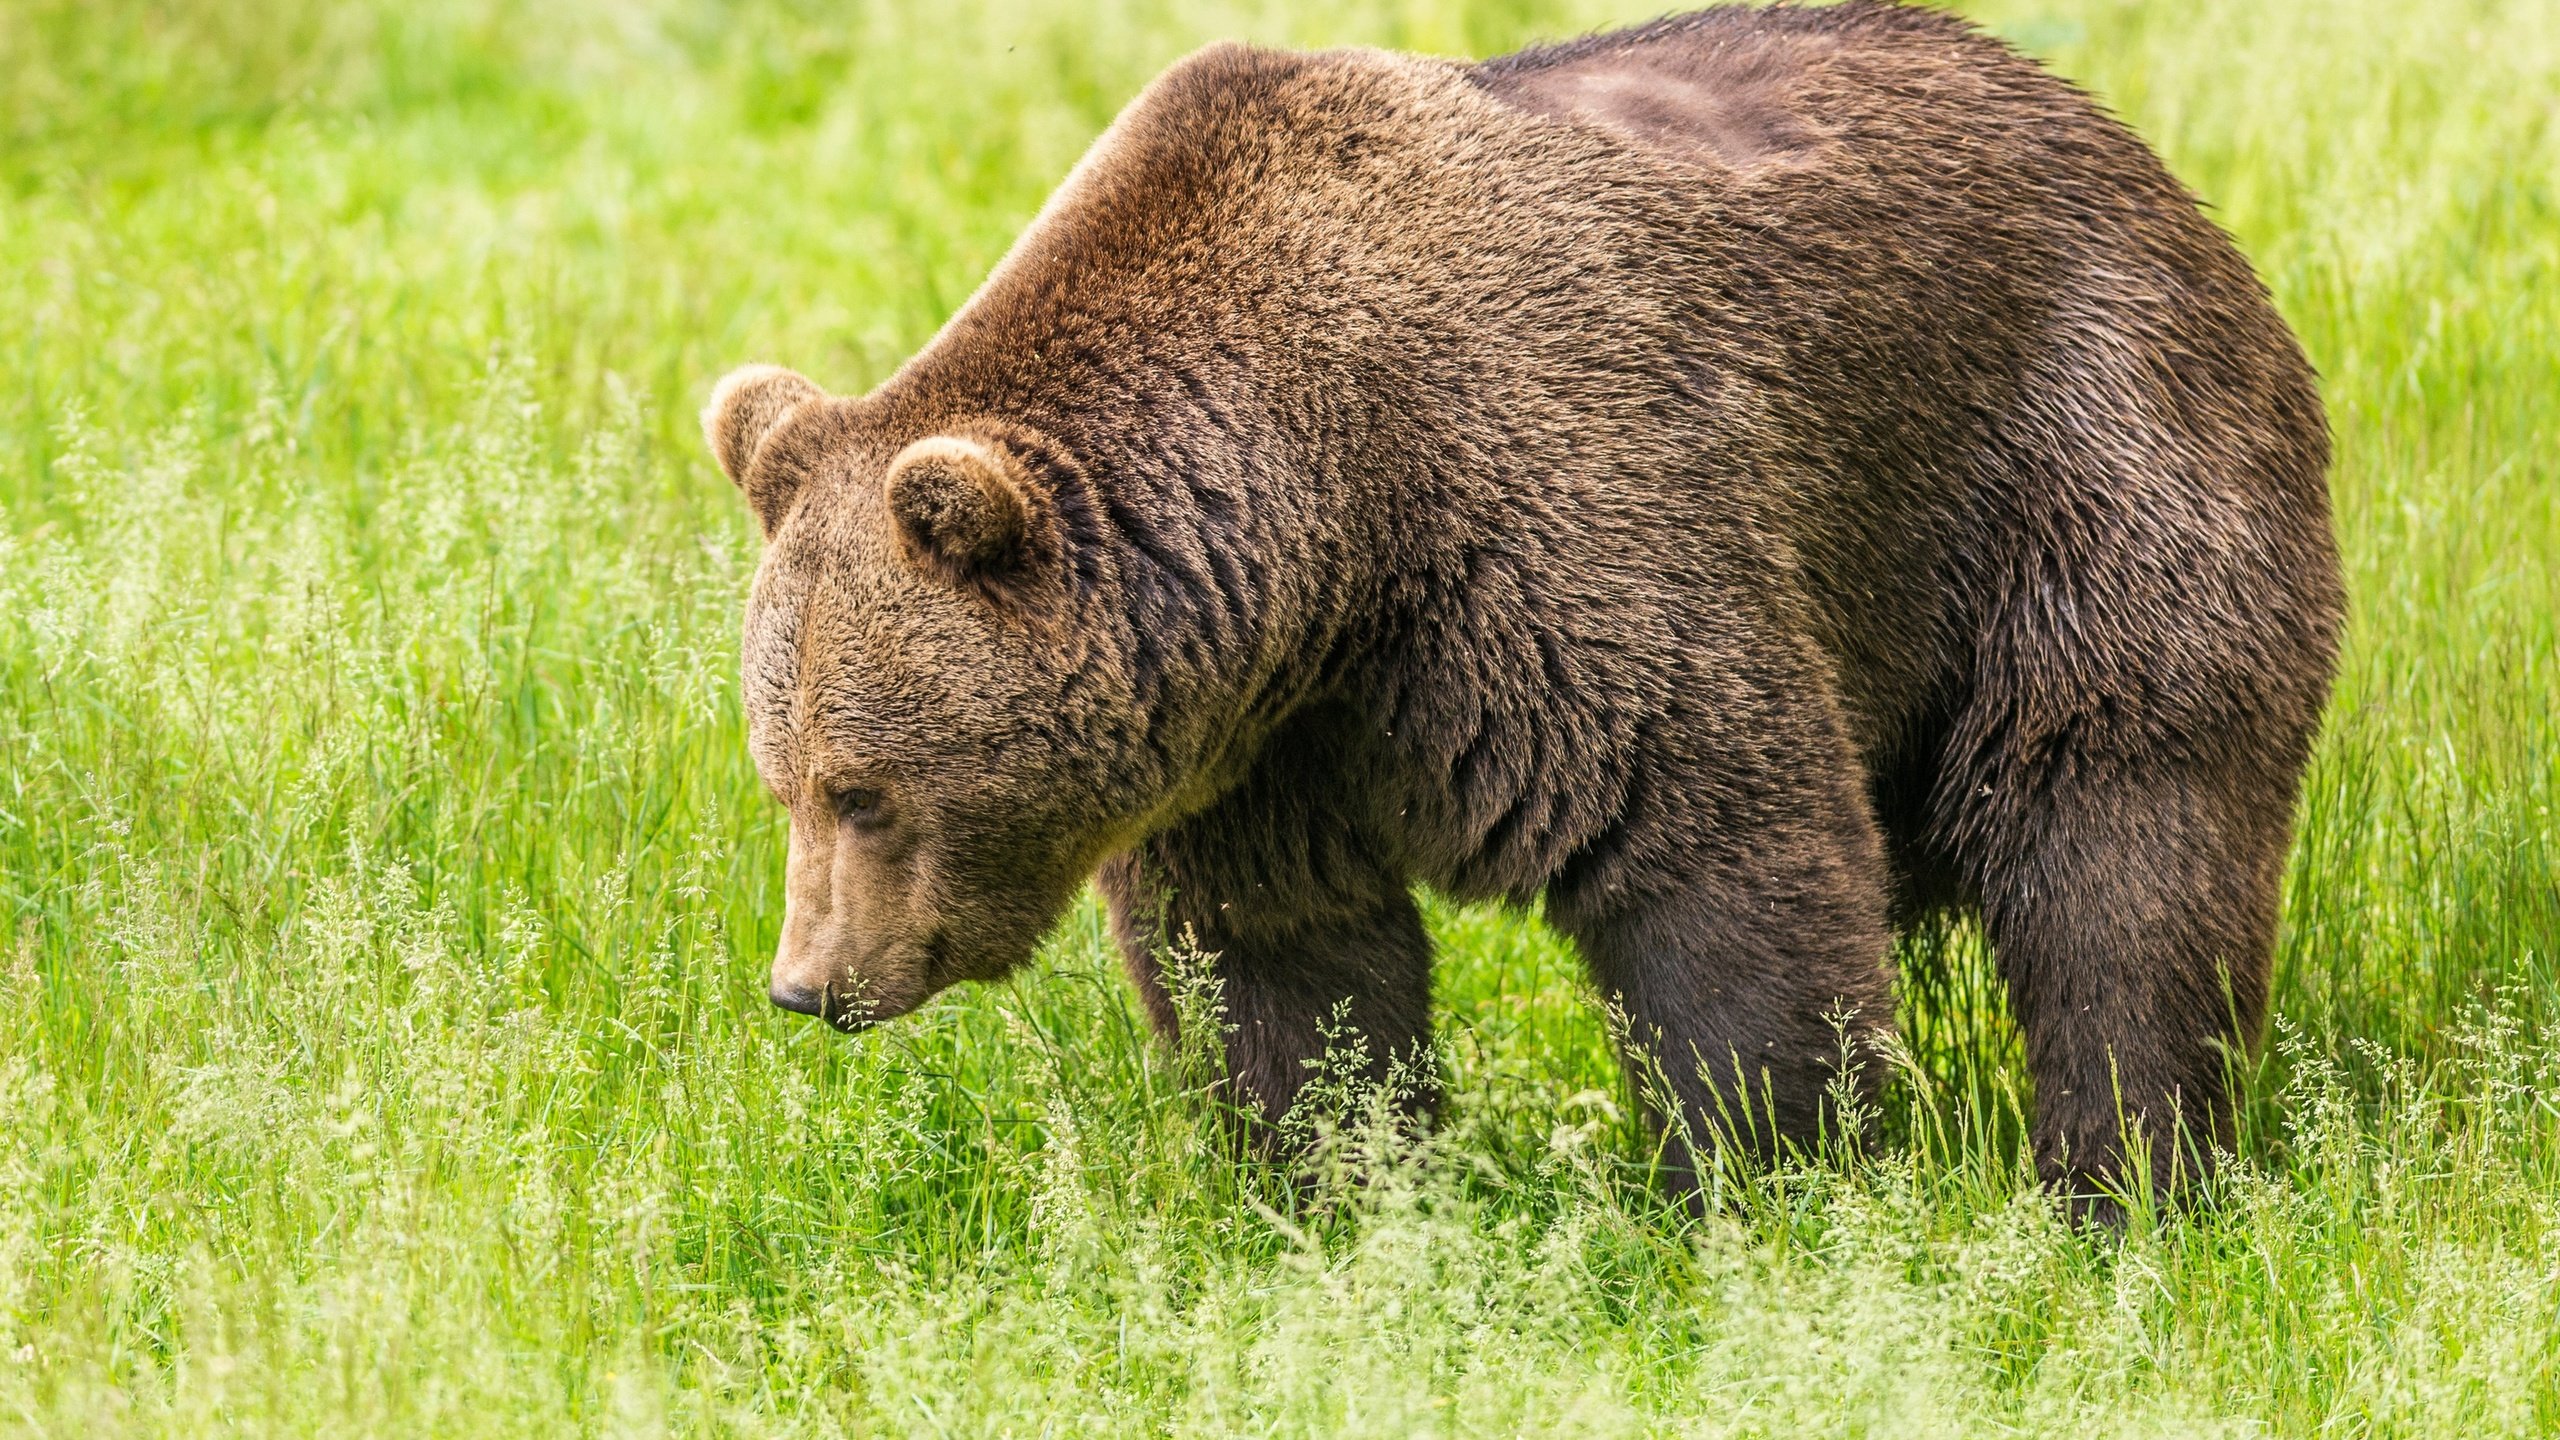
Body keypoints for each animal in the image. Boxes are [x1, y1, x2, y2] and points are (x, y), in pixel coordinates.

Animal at [701, 2, 2344, 1209]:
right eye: (779, 778)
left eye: (861, 790)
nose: (808, 985)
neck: (1329, 517)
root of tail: (2135, 152)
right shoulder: (1257, 738)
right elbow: (1286, 966)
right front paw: (1339, 1193)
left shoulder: (1554, 519)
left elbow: (1720, 853)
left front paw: (1755, 1183)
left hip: (2073, 469)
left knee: (2120, 838)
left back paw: (2119, 1177)